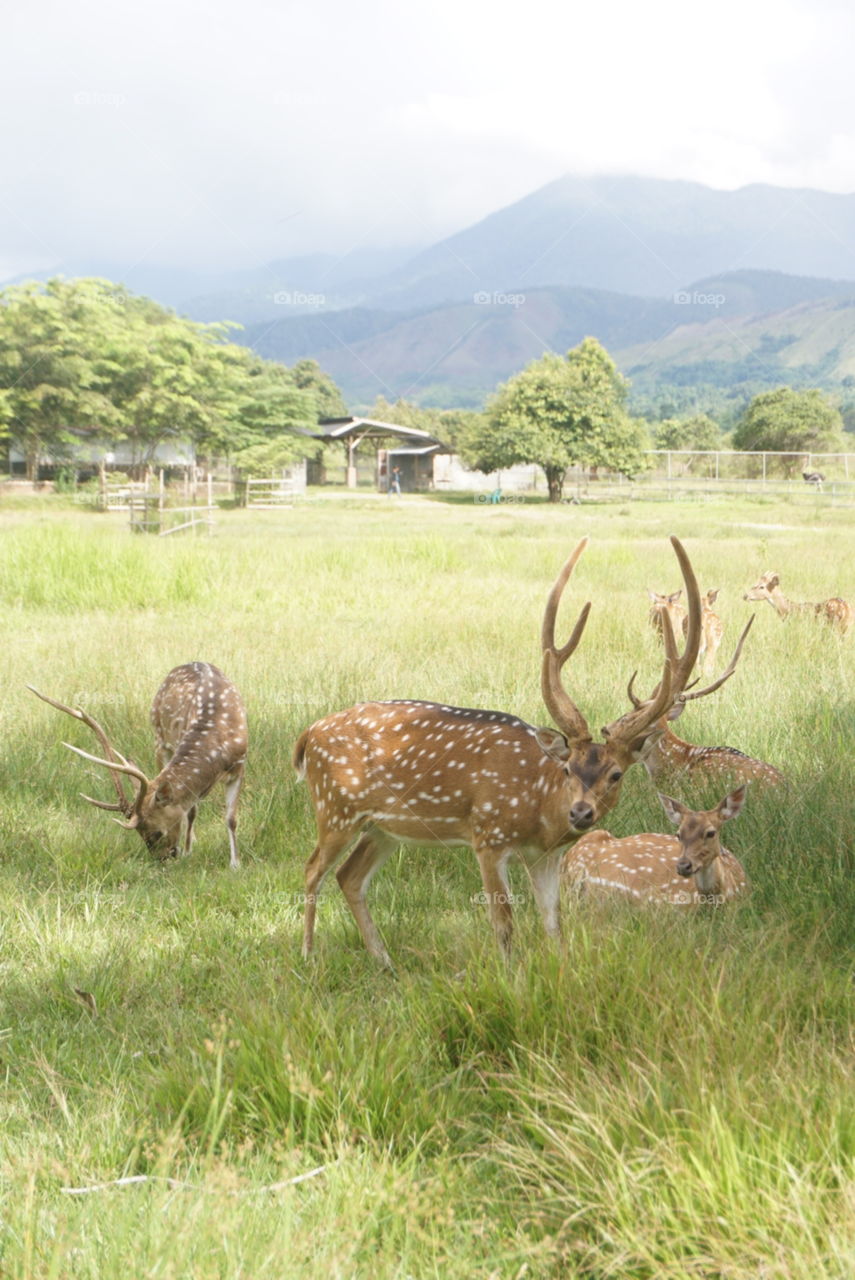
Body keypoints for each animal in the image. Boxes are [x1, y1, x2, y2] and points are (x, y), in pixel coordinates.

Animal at [29, 662, 248, 867]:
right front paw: (189, 851)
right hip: (159, 739)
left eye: (157, 833)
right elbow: (191, 811)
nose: (162, 859)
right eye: (141, 834)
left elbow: (231, 818)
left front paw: (235, 863)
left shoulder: (240, 765)